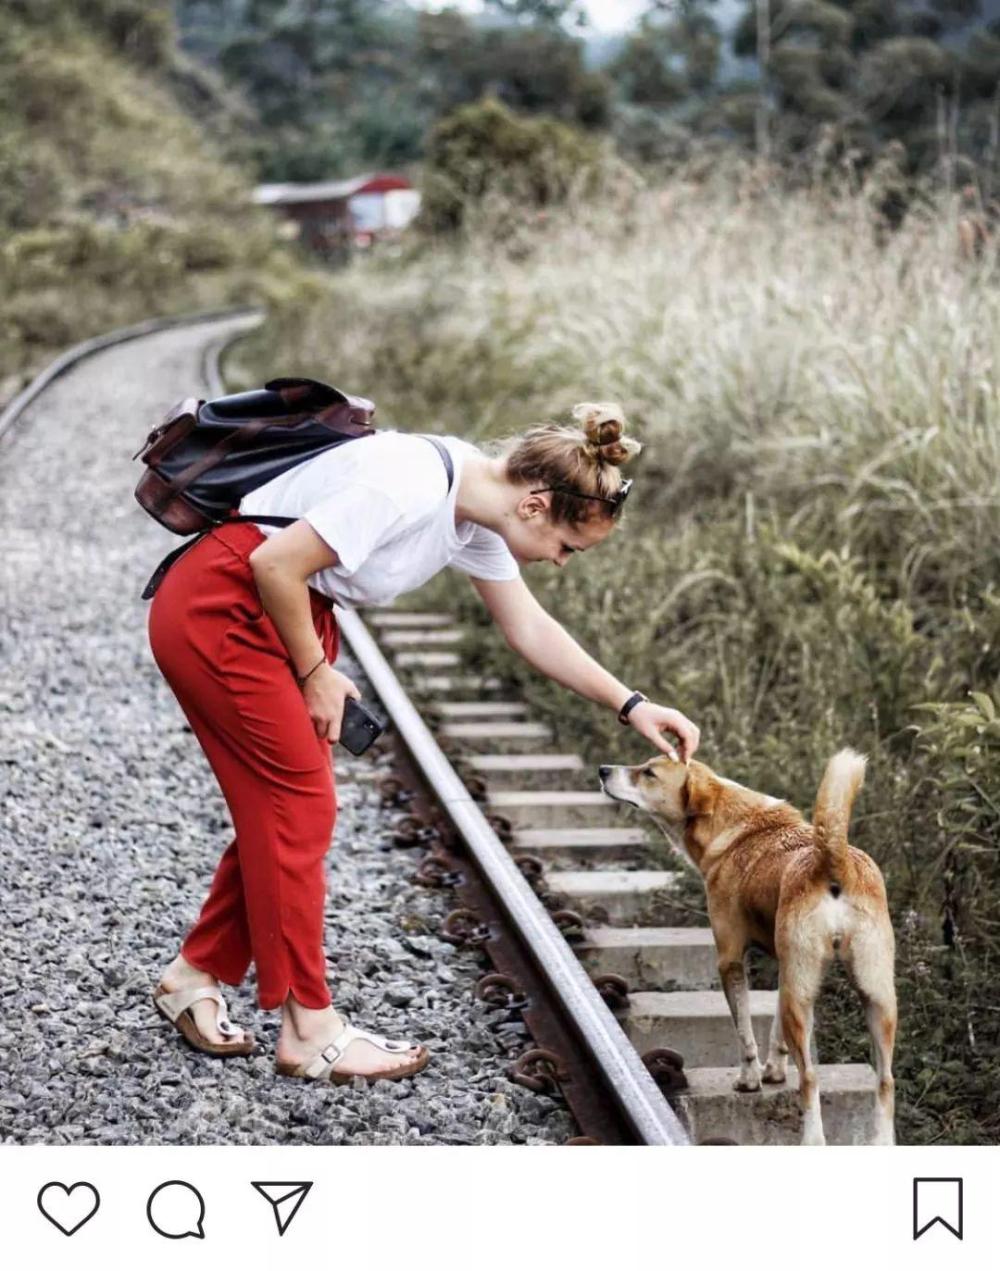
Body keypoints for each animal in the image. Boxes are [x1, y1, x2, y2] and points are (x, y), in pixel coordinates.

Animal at [597, 747, 894, 1148]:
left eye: (649, 773)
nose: (602, 769)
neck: (736, 827)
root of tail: (834, 862)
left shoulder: (730, 960)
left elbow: (744, 1033)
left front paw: (750, 1080)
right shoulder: (786, 969)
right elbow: (775, 1032)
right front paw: (774, 1072)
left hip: (805, 999)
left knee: (810, 1079)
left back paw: (812, 1139)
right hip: (875, 998)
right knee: (886, 1080)